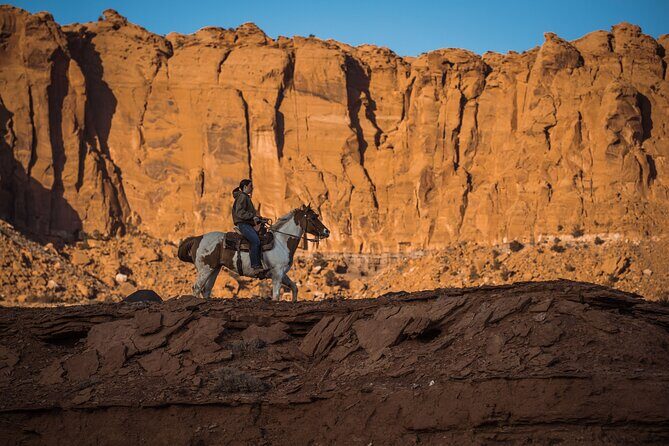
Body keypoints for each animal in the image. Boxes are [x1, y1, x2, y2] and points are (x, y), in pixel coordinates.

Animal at [183, 205, 329, 301]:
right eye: (313, 217)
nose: (327, 231)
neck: (282, 242)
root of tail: (197, 238)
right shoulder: (277, 274)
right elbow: (276, 297)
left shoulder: (281, 273)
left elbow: (294, 287)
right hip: (205, 269)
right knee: (196, 288)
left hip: (214, 269)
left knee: (206, 290)